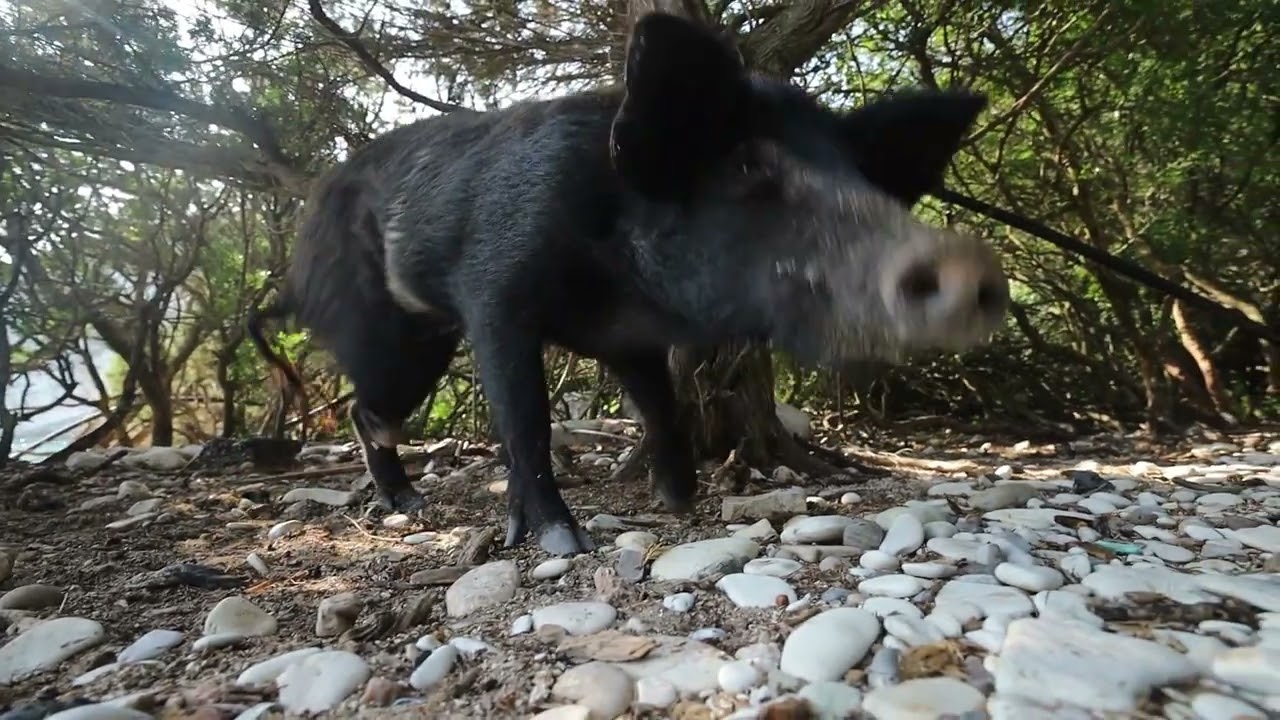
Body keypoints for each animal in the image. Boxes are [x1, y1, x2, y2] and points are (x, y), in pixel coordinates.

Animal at [247, 11, 1009, 556]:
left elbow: (662, 407)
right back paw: (409, 505)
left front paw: (682, 501)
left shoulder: (628, 338)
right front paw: (564, 542)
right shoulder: (496, 295)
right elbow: (526, 420)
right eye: (746, 167)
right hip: (389, 333)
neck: (619, 278)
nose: (969, 264)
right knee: (364, 409)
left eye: (864, 176)